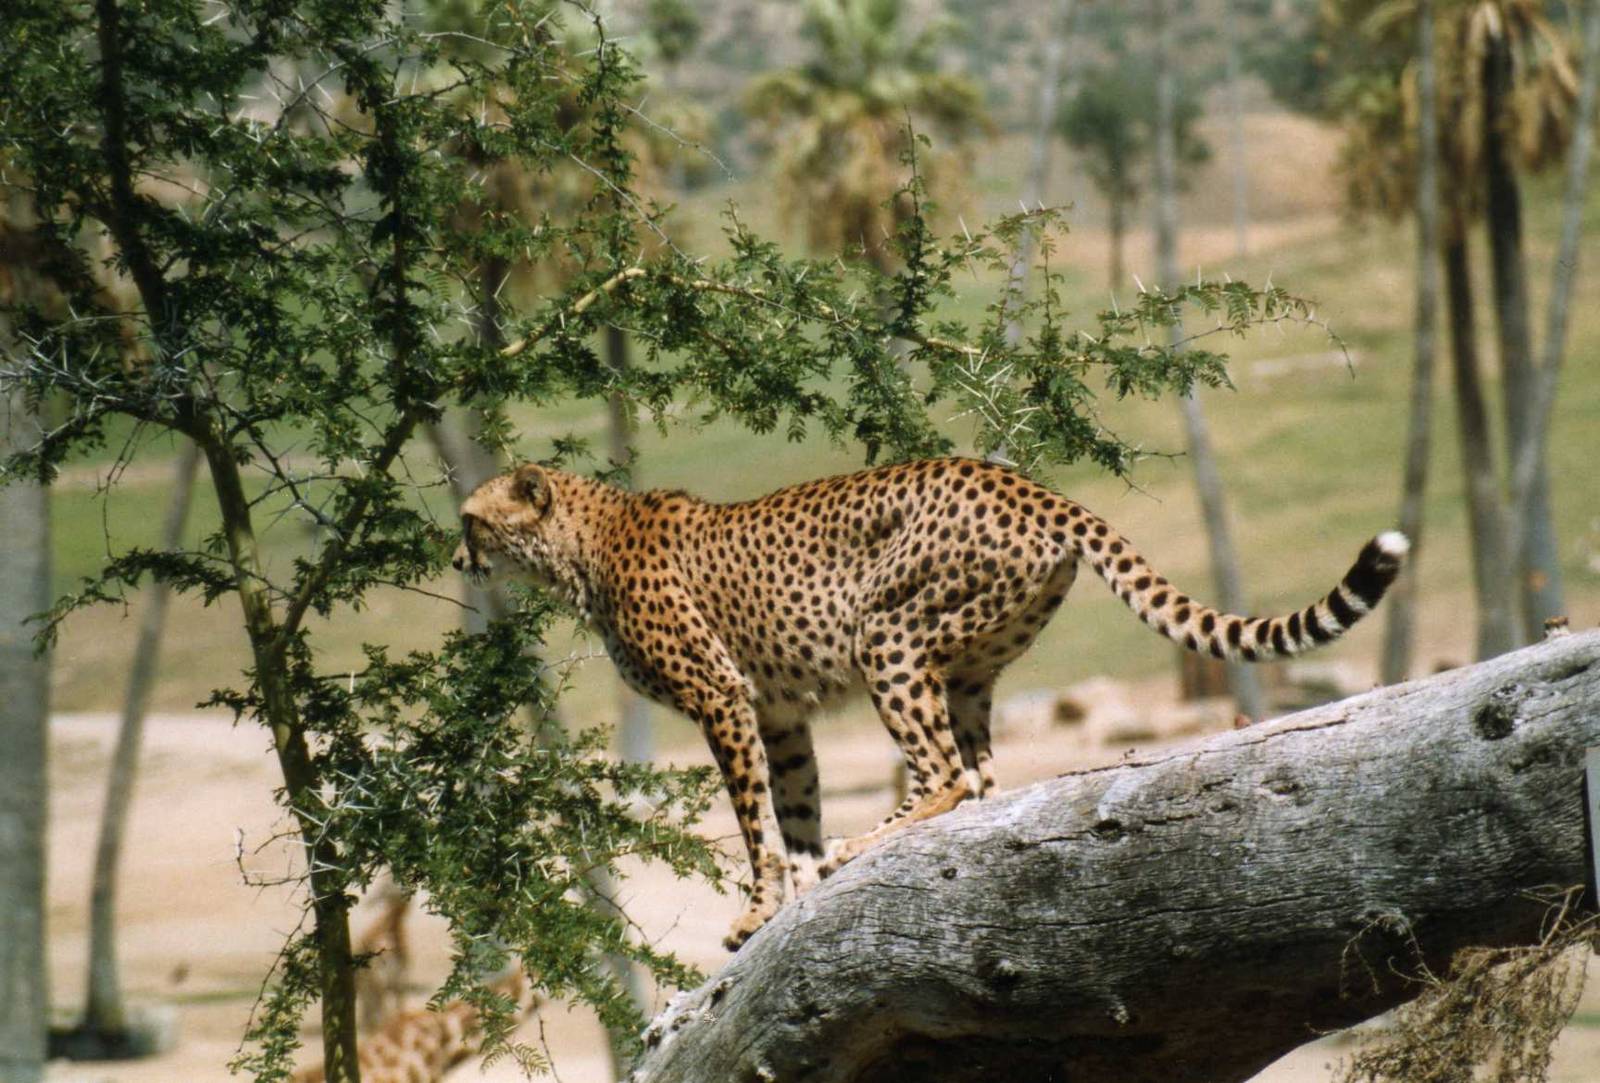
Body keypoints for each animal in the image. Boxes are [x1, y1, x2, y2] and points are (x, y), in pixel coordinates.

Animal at [452, 457, 1408, 950]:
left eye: (472, 520)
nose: (457, 558)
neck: (584, 543)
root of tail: (1023, 481)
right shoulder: (779, 713)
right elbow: (791, 805)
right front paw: (799, 883)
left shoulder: (722, 697)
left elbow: (754, 820)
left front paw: (762, 904)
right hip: (970, 661)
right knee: (978, 775)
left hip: (887, 633)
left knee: (947, 772)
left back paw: (867, 840)